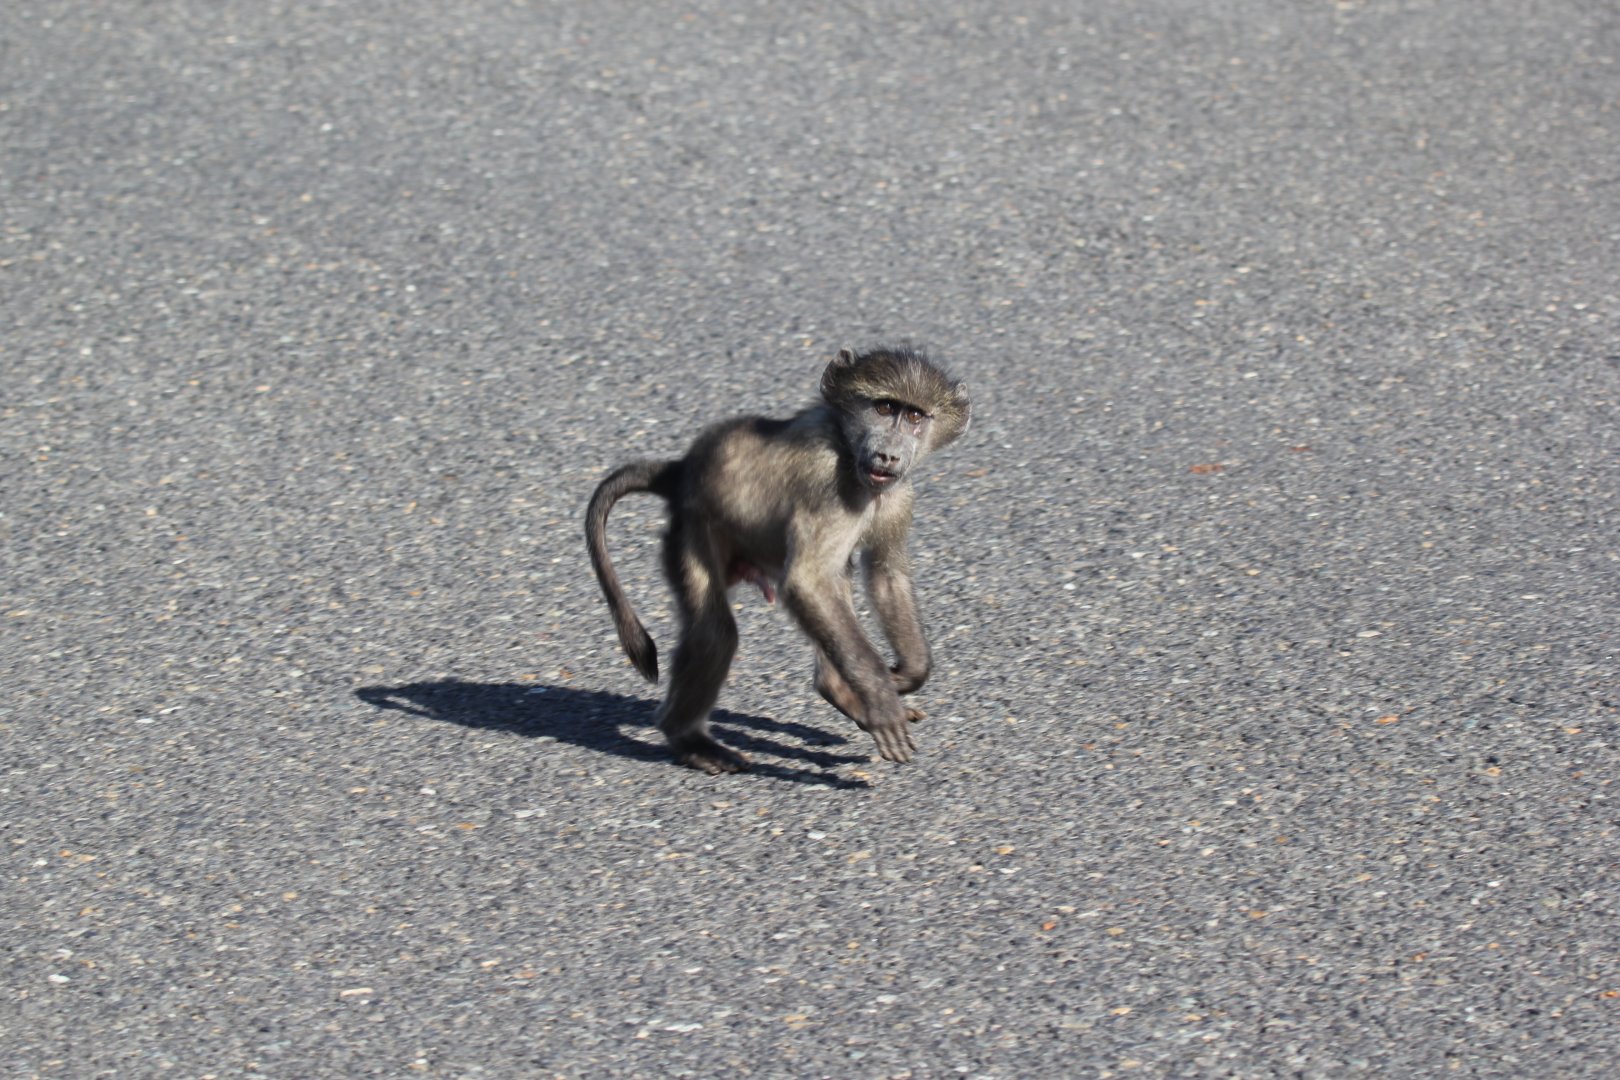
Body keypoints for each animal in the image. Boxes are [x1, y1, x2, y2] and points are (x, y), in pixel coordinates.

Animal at [585, 346, 971, 774]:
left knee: (836, 578)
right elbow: (807, 582)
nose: (888, 455)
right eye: (884, 407)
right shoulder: (827, 486)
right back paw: (689, 740)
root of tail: (682, 469)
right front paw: (882, 698)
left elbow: (885, 575)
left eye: (915, 417)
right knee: (716, 632)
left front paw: (907, 674)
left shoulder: (899, 496)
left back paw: (838, 690)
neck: (848, 447)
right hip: (694, 528)